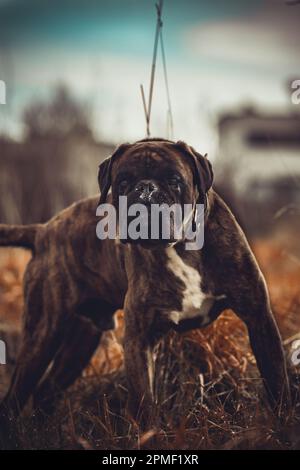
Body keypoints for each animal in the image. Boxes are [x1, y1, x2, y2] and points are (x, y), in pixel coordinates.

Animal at [0, 137, 290, 434]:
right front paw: (151, 436)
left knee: (46, 390)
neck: (182, 247)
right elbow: (145, 404)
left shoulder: (258, 318)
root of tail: (43, 230)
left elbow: (277, 381)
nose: (146, 189)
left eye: (174, 179)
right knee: (16, 396)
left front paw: (281, 426)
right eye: (124, 181)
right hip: (43, 334)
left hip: (79, 343)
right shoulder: (140, 338)